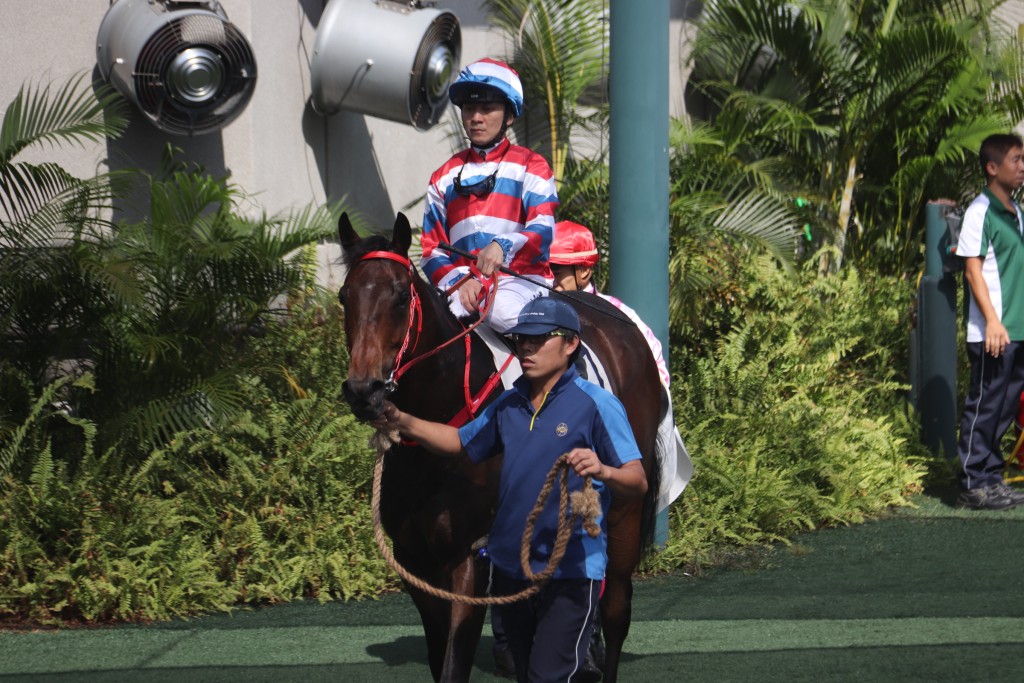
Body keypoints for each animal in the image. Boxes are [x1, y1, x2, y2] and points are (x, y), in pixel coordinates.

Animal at [335, 214, 659, 683]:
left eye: (398, 296)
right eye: (345, 297)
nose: (364, 390)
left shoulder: (472, 555)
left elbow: (456, 660)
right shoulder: (414, 558)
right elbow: (440, 653)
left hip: (625, 508)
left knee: (615, 607)